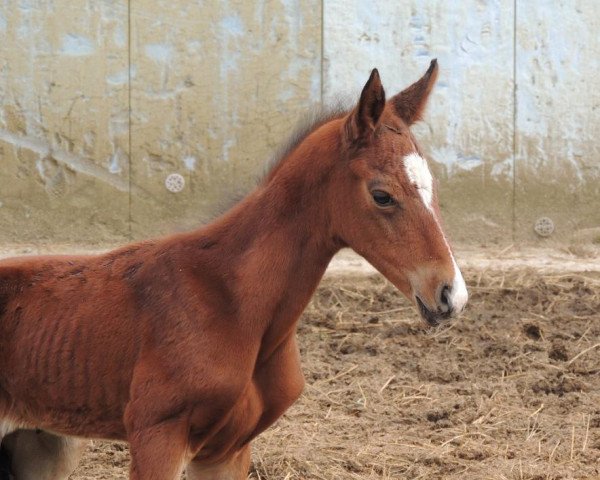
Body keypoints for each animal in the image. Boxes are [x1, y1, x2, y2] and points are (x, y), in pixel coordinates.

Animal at [0, 61, 466, 480]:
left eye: (435, 188)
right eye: (382, 195)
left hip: (42, 446)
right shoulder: (156, 435)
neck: (230, 300)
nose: (450, 294)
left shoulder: (227, 451)